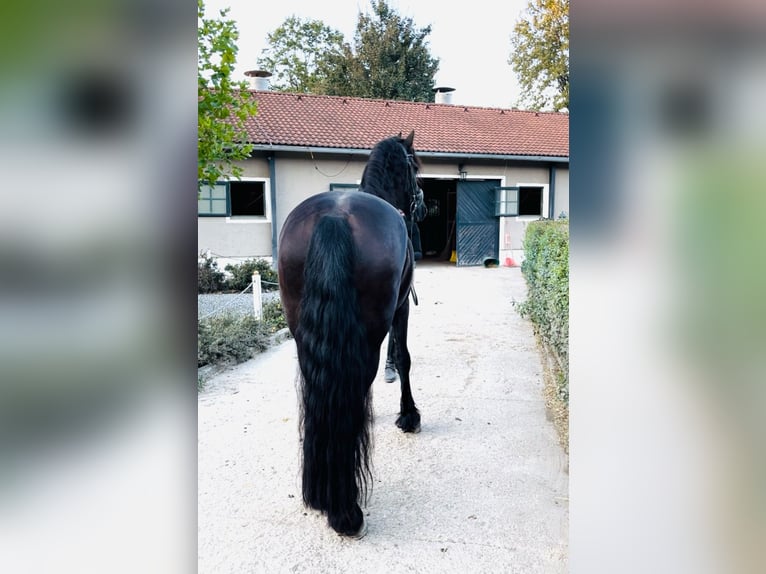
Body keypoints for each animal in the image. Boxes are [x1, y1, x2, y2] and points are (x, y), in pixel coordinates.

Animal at [280, 133, 428, 536]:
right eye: (416, 166)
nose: (424, 206)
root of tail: (334, 218)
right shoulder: (401, 307)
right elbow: (404, 358)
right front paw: (409, 416)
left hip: (303, 335)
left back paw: (320, 495)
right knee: (354, 386)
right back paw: (345, 509)